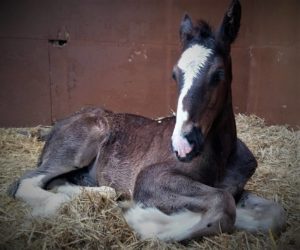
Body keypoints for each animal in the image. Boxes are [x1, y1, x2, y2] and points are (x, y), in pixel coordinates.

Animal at [9, 0, 286, 242]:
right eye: (175, 74)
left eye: (219, 74)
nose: (183, 145)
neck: (222, 155)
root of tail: (57, 125)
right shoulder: (151, 178)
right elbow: (223, 205)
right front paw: (149, 222)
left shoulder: (237, 189)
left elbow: (274, 213)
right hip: (77, 148)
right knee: (26, 183)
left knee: (59, 183)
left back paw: (101, 194)